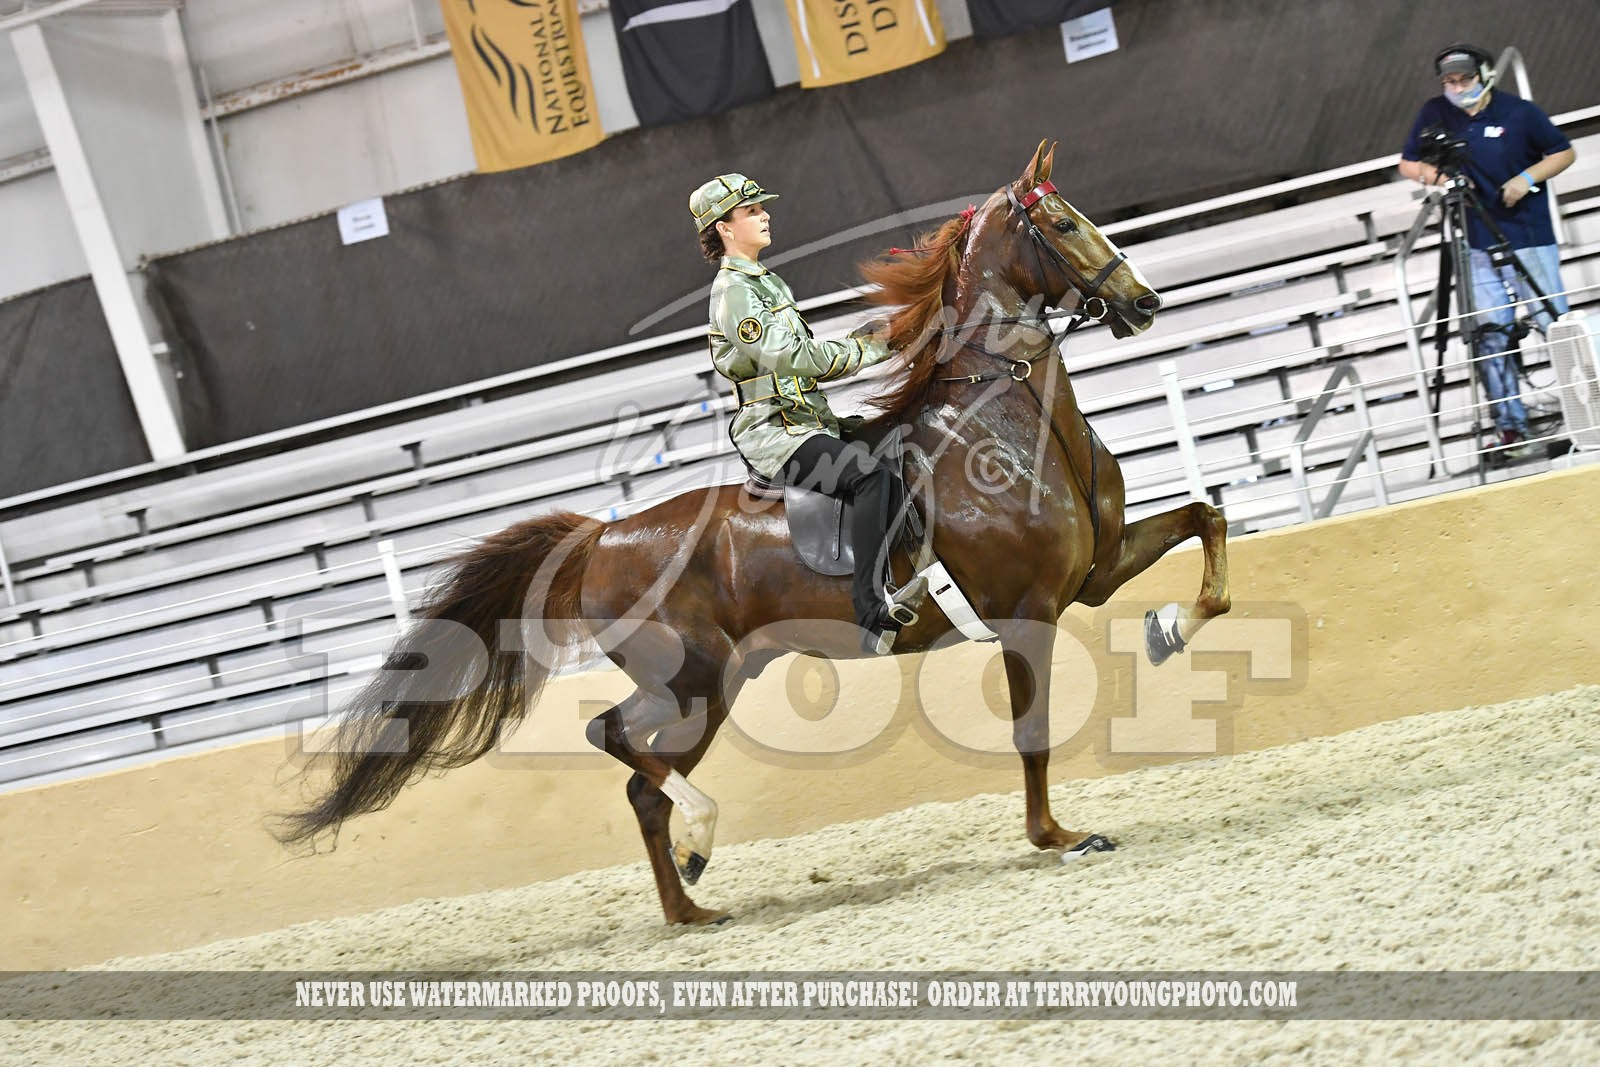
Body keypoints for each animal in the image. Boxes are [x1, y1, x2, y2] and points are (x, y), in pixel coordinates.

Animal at [278, 141, 1232, 925]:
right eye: (1062, 221)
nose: (1144, 302)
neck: (1000, 423)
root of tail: (601, 539)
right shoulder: (1026, 612)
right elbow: (1032, 736)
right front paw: (1057, 836)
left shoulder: (1095, 573)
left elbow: (1208, 520)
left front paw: (1168, 629)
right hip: (691, 679)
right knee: (621, 746)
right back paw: (700, 844)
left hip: (714, 683)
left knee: (638, 778)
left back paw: (690, 905)